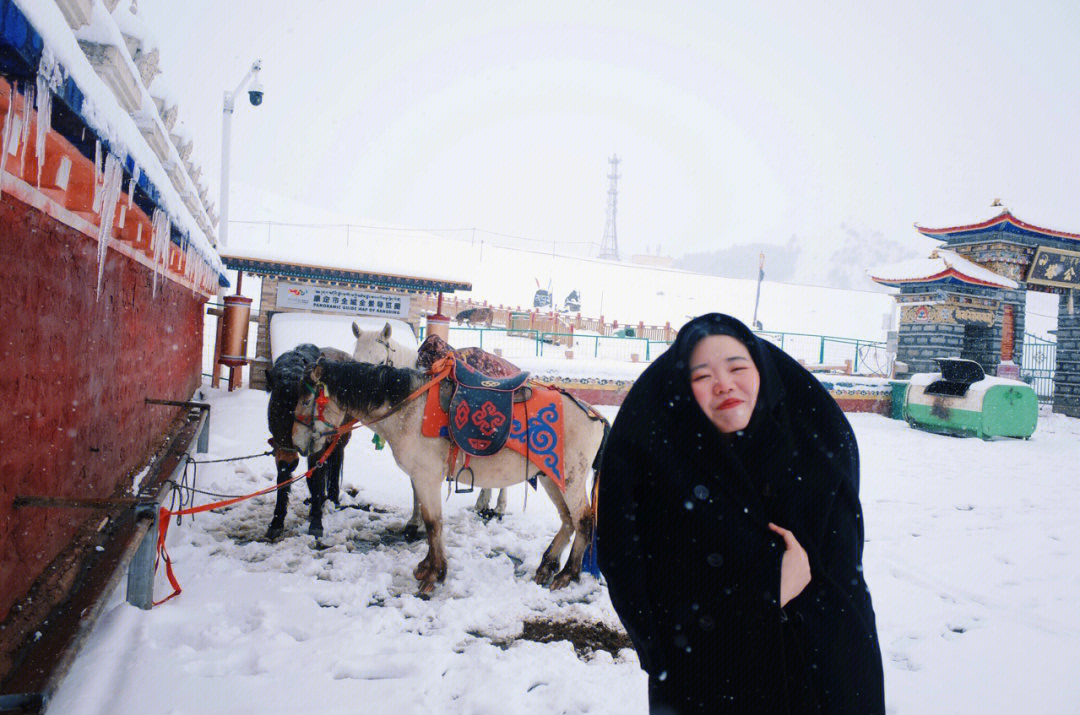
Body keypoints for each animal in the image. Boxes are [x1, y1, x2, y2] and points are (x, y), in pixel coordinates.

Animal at [291, 360, 609, 596]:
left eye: (307, 398)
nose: (296, 443)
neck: (409, 410)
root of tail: (595, 415)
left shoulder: (426, 477)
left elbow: (433, 524)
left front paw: (434, 576)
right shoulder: (423, 479)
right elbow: (431, 523)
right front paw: (428, 567)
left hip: (570, 479)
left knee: (583, 520)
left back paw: (567, 574)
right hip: (551, 477)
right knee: (568, 520)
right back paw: (547, 566)